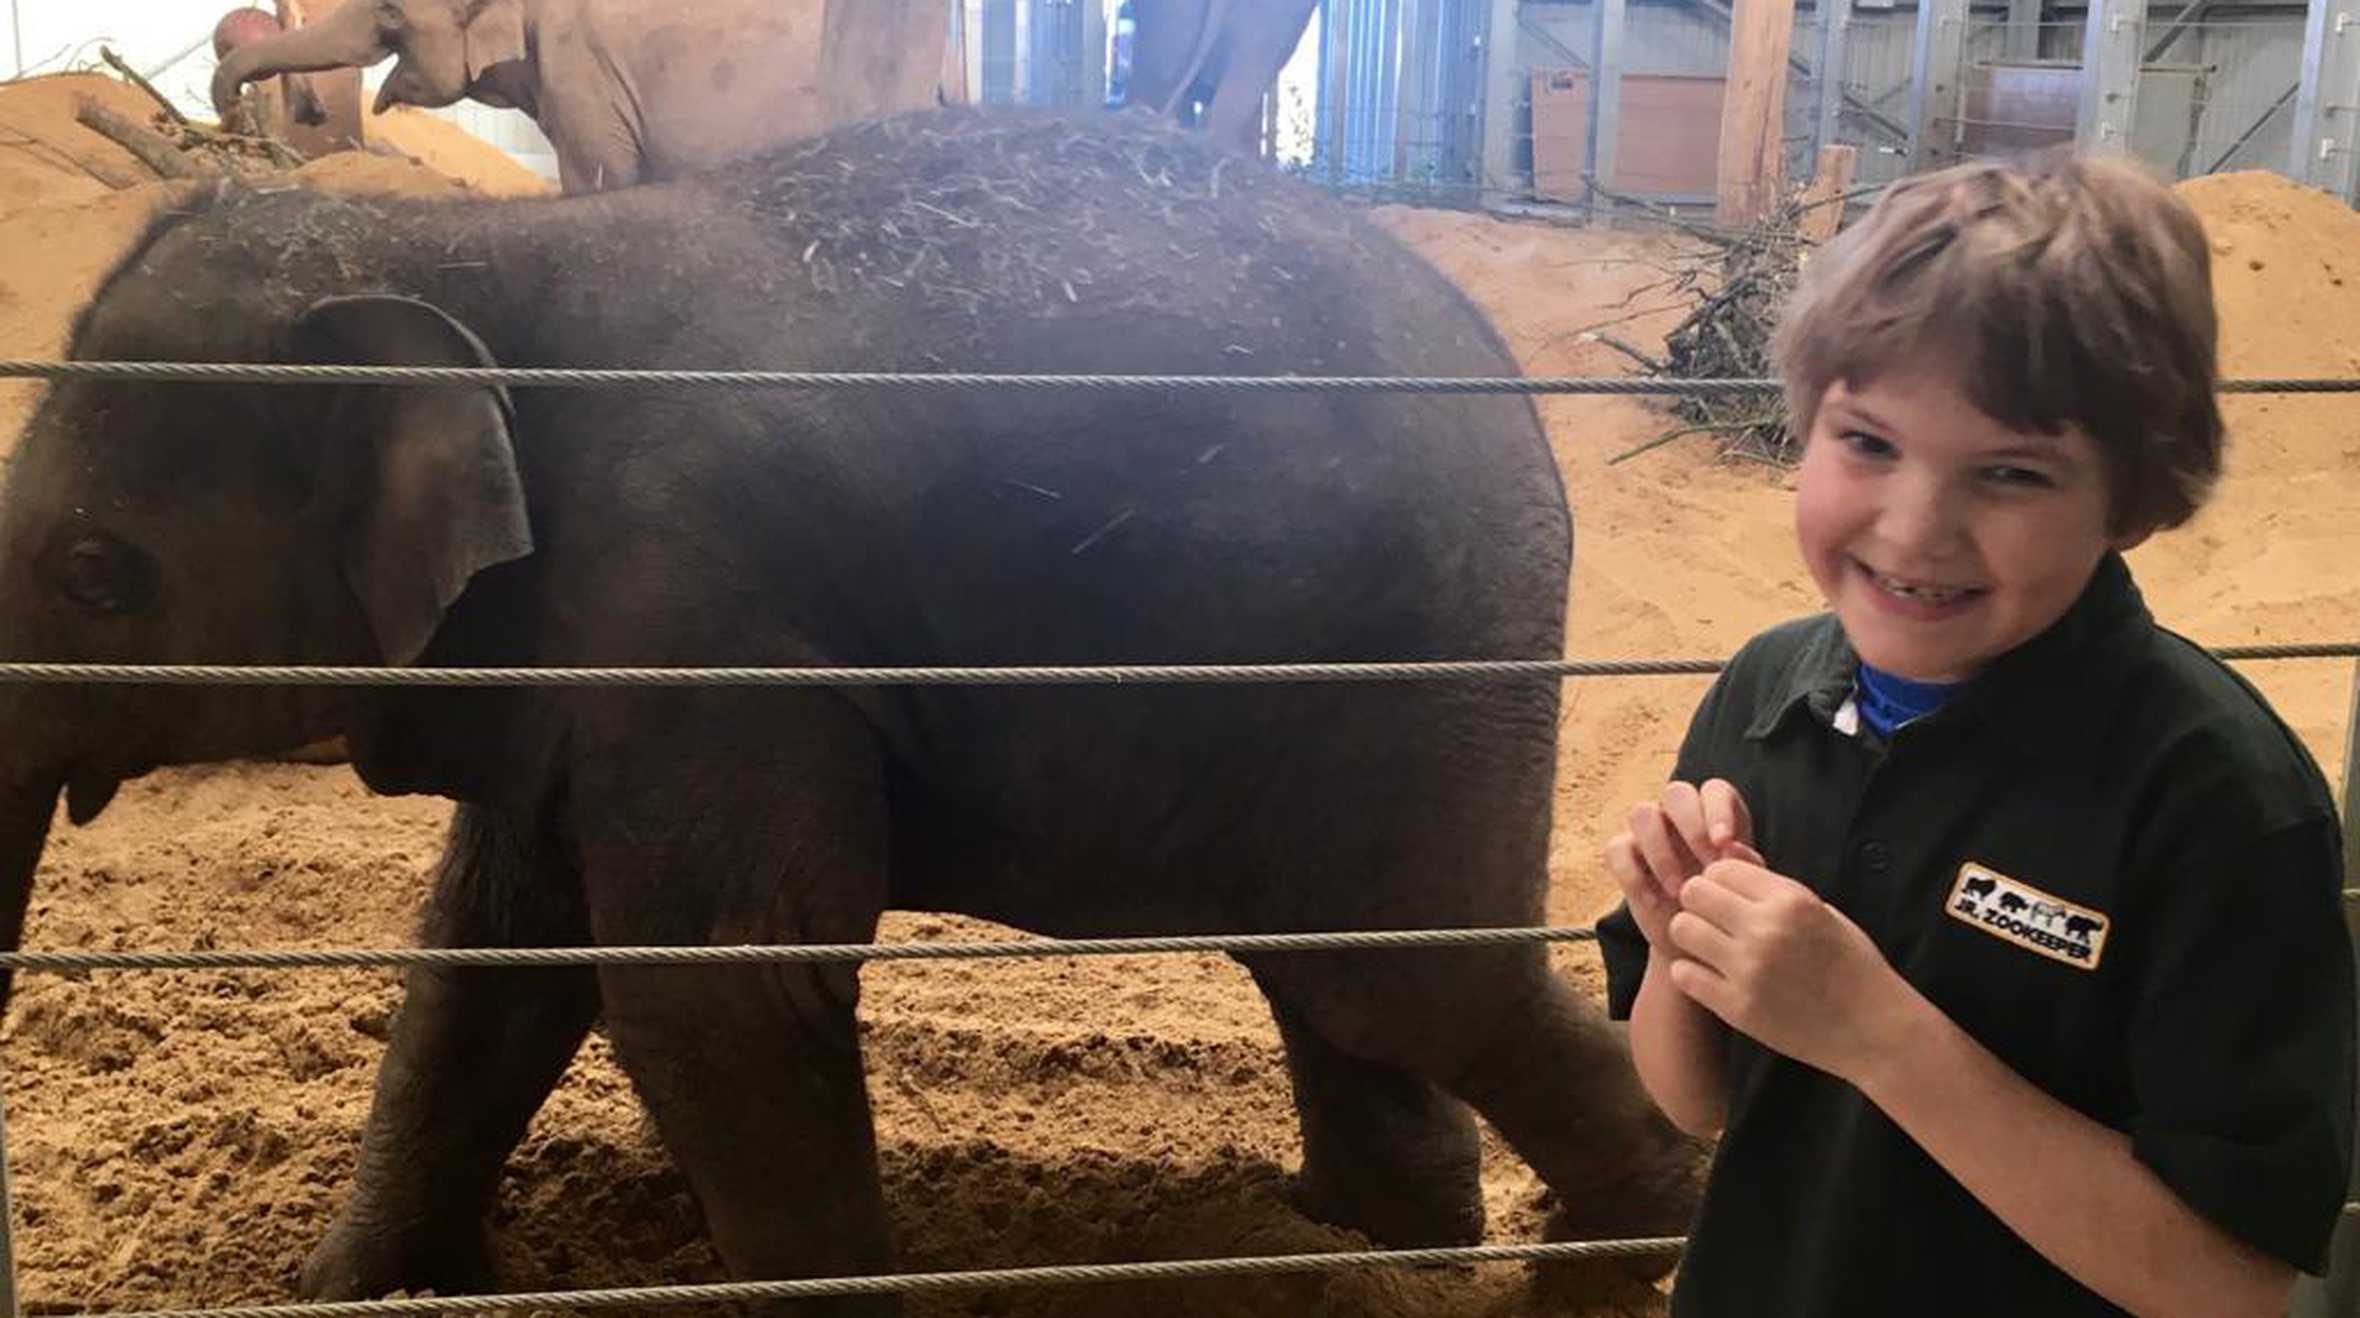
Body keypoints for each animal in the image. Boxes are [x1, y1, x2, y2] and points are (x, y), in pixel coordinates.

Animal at [0, 111, 1699, 1313]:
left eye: (94, 573)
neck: (474, 243)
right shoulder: (585, 651)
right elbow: (492, 952)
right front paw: (346, 1291)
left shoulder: (709, 622)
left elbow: (720, 993)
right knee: (1332, 975)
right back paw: (1371, 1249)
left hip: (1415, 665)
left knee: (1407, 978)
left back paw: (1614, 1258)